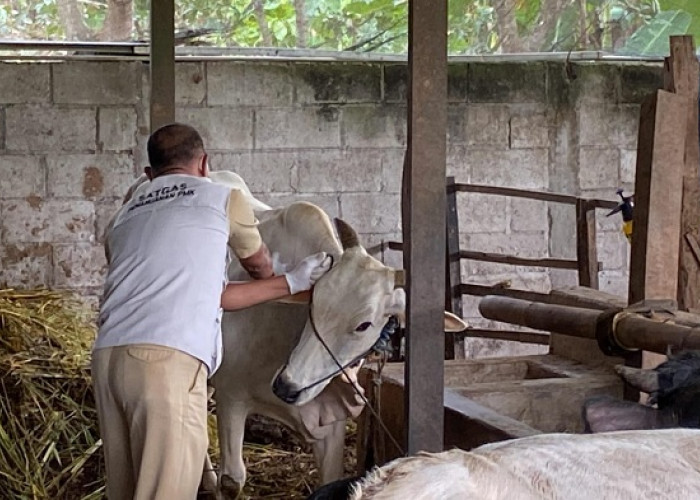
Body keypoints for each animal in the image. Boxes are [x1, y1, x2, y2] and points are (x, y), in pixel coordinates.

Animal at [121, 171, 468, 496]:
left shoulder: (331, 423)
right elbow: (232, 480)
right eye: (313, 302)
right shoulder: (231, 395)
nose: (286, 386)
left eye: (364, 324)